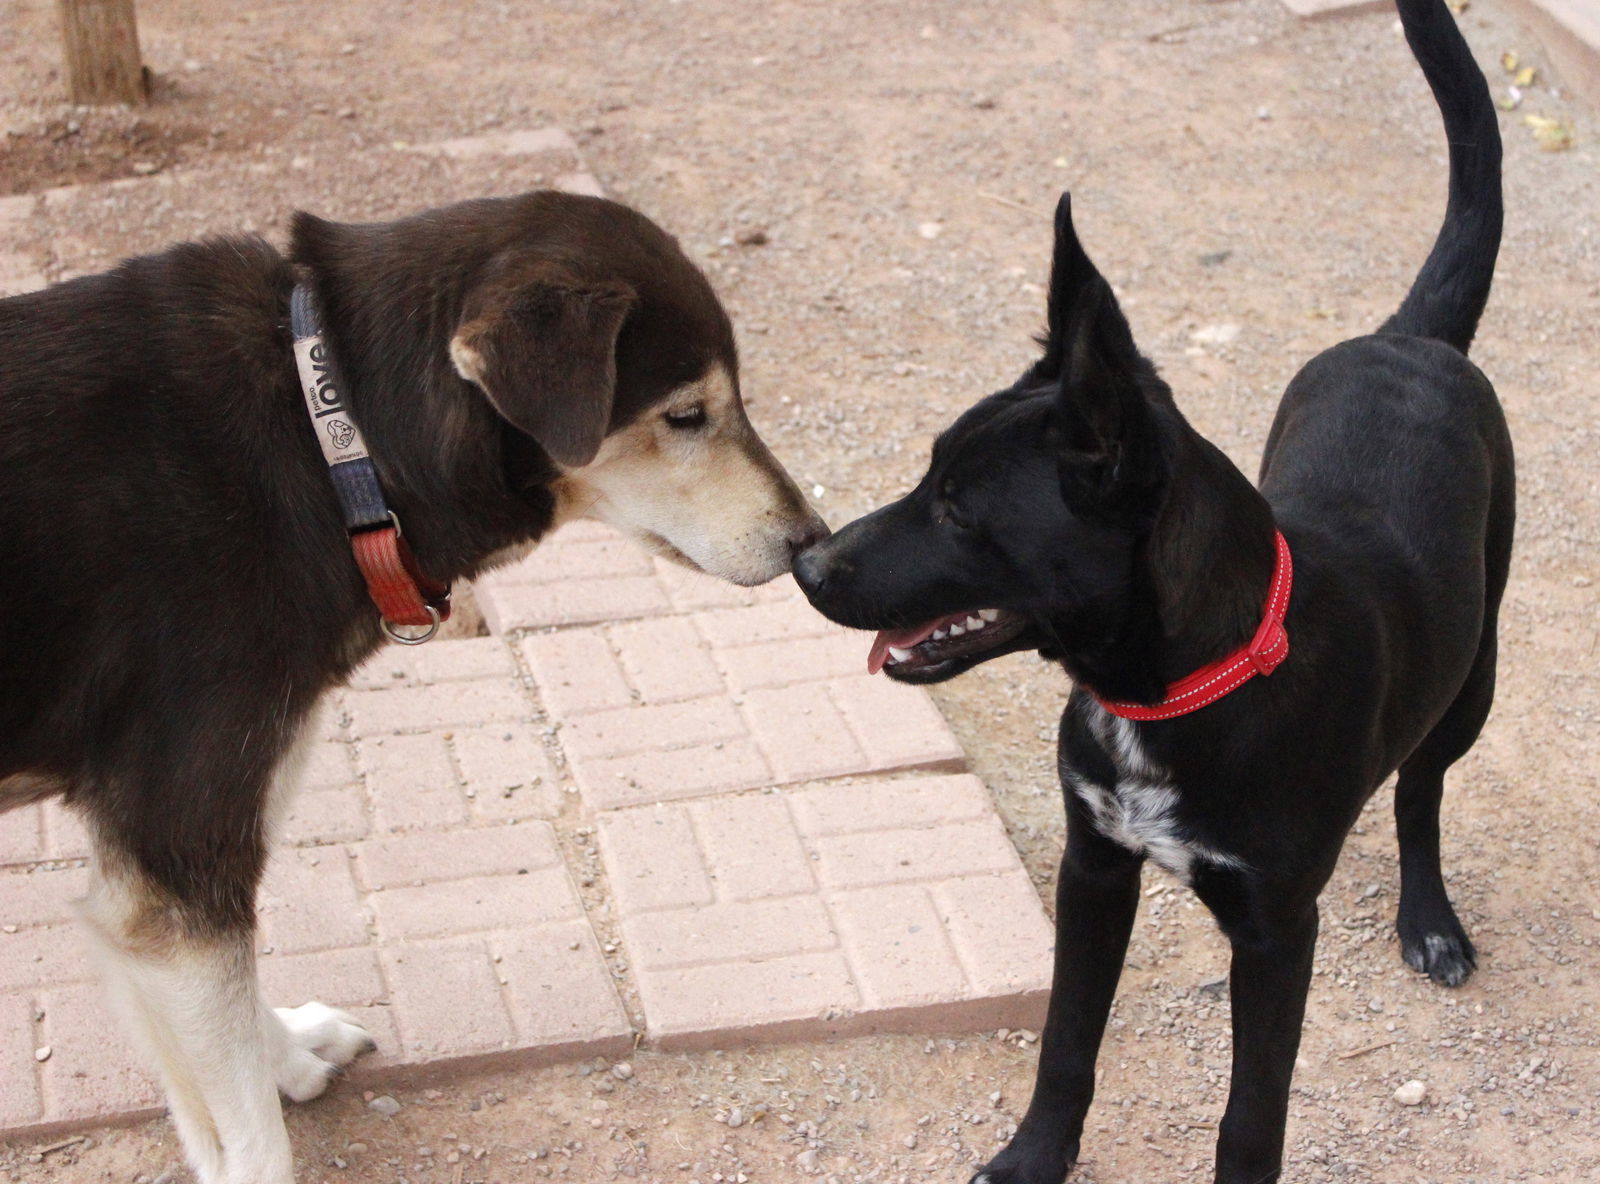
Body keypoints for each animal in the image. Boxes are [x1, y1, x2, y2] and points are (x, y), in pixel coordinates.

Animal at [0, 189, 825, 1177]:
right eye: (687, 415)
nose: (815, 541)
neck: (331, 435)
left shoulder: (179, 872)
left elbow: (229, 1031)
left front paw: (286, 1051)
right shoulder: (175, 863)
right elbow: (248, 1133)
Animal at [793, 4, 1504, 1177]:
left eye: (959, 510)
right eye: (926, 471)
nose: (806, 565)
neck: (1183, 687)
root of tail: (1412, 338)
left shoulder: (1275, 932)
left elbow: (1251, 1112)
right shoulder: (1093, 868)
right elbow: (1065, 1041)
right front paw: (1033, 1156)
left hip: (1473, 677)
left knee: (1419, 786)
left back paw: (1430, 917)